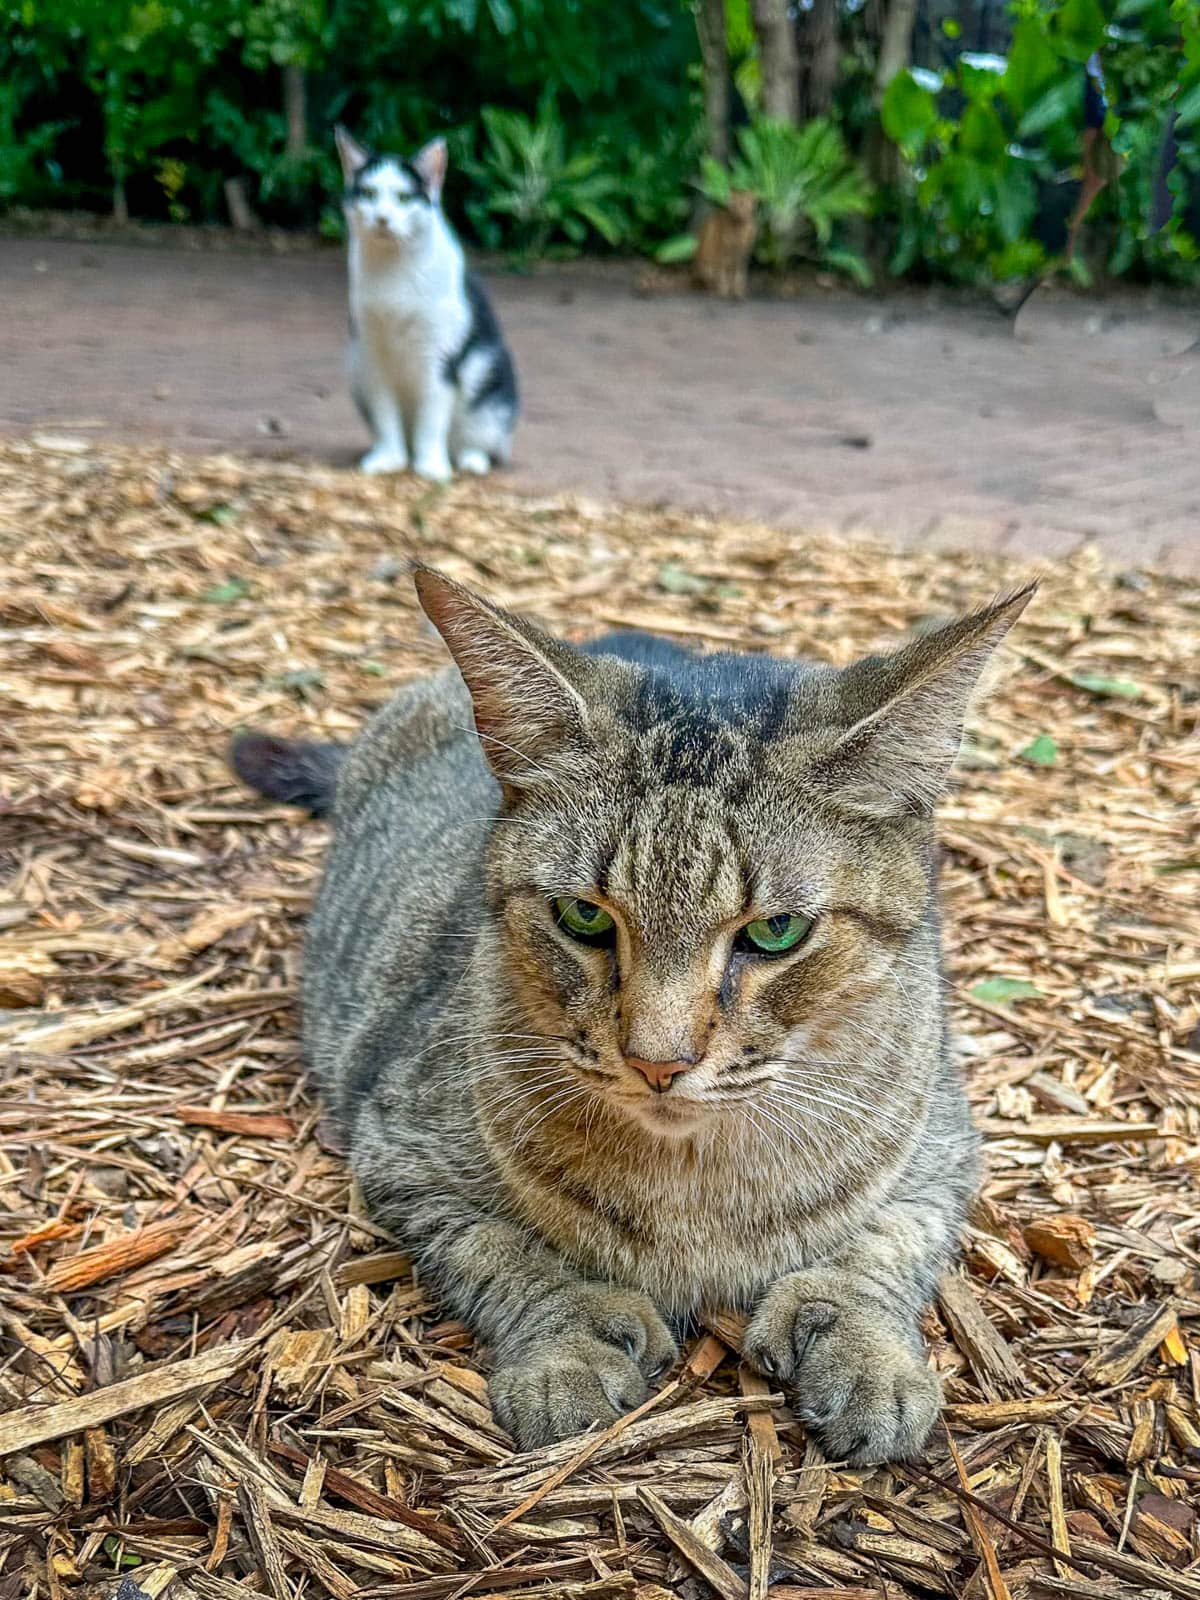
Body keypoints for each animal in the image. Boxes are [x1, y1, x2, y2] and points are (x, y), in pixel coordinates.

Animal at [230, 566, 1036, 1465]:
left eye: (776, 931)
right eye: (583, 917)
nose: (659, 1061)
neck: (693, 1191)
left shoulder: (944, 1144)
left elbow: (885, 1244)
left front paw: (862, 1345)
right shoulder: (401, 1149)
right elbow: (506, 1252)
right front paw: (571, 1340)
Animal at [336, 127, 518, 476]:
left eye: (405, 198)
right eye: (368, 193)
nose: (382, 218)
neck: (392, 269)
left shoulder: (440, 357)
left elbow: (431, 419)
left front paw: (431, 467)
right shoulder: (371, 354)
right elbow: (385, 415)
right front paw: (389, 459)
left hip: (489, 384)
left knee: (485, 442)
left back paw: (470, 459)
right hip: (354, 368)